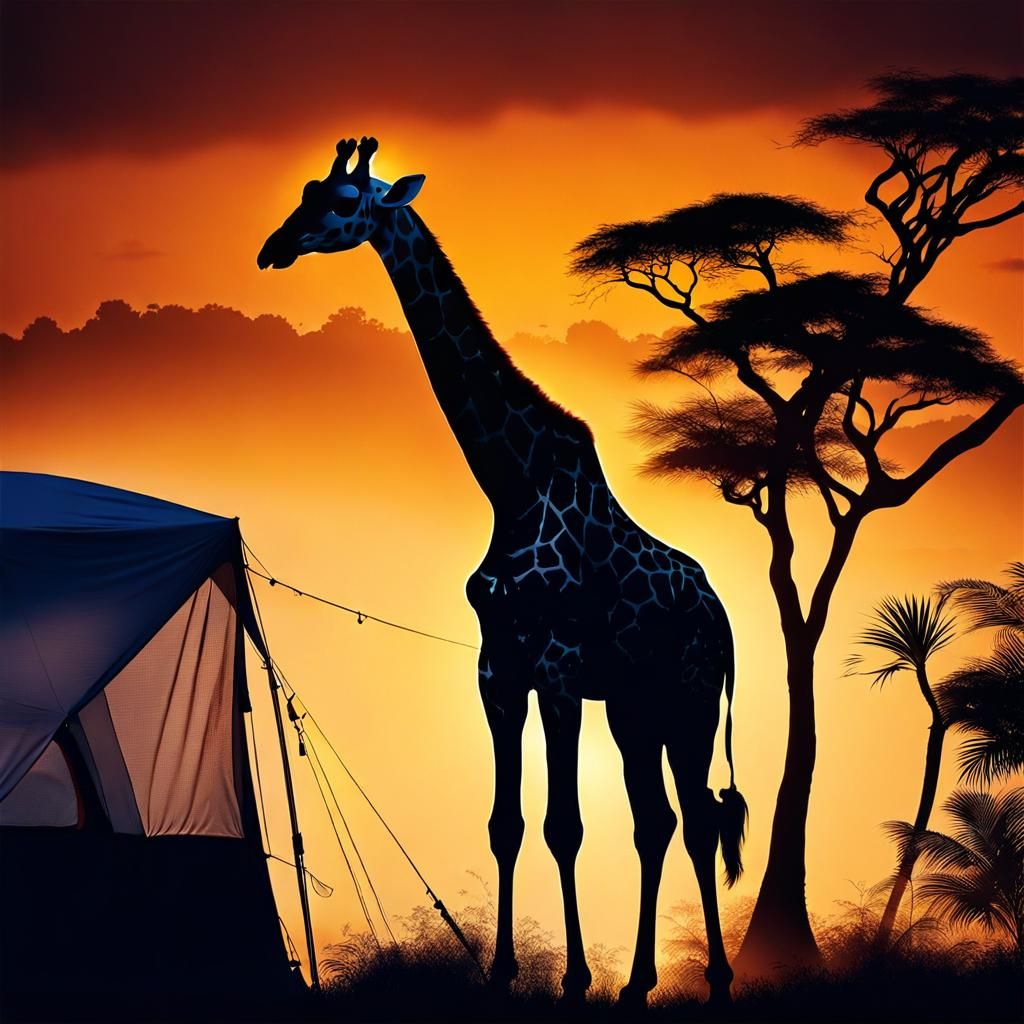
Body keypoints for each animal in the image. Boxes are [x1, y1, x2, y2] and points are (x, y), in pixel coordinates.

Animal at [258, 137, 747, 1007]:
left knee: (695, 819)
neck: (512, 483)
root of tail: (720, 616)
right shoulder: (496, 668)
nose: (274, 247)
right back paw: (640, 983)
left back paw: (716, 980)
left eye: (344, 202)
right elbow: (507, 823)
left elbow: (564, 824)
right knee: (656, 821)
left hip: (688, 697)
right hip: (636, 707)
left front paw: (575, 978)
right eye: (307, 190)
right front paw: (501, 972)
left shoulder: (554, 666)